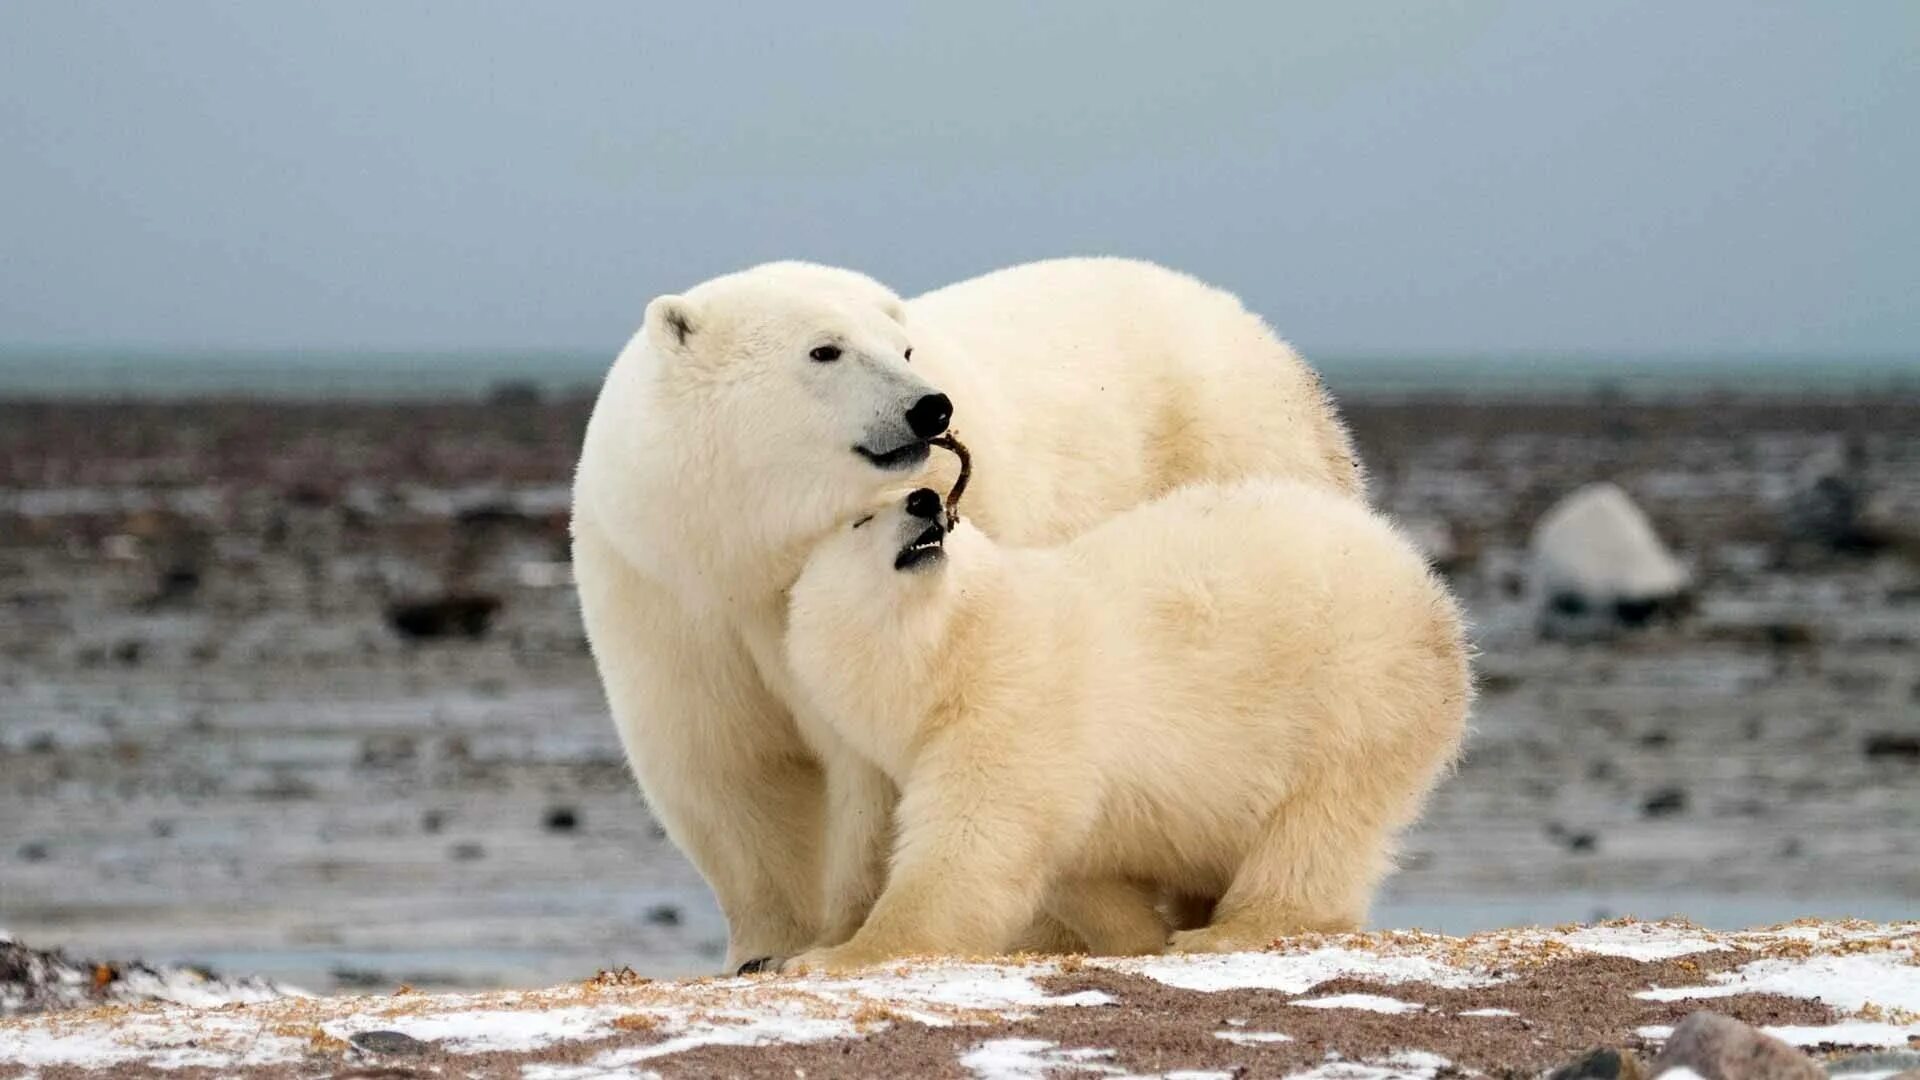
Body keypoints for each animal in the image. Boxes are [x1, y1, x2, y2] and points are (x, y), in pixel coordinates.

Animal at [568, 255, 1367, 960]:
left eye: (904, 346)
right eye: (825, 349)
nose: (931, 406)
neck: (750, 552)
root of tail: (1258, 331)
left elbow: (875, 771)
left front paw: (845, 931)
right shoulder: (666, 594)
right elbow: (724, 765)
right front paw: (765, 949)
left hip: (1232, 464)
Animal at [779, 478, 1466, 968]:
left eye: (954, 511)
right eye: (861, 520)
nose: (925, 501)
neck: (958, 651)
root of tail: (1421, 578)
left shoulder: (1017, 703)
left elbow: (970, 843)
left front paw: (833, 955)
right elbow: (1072, 866)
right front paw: (1136, 934)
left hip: (1355, 689)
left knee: (1315, 827)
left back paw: (1228, 929)